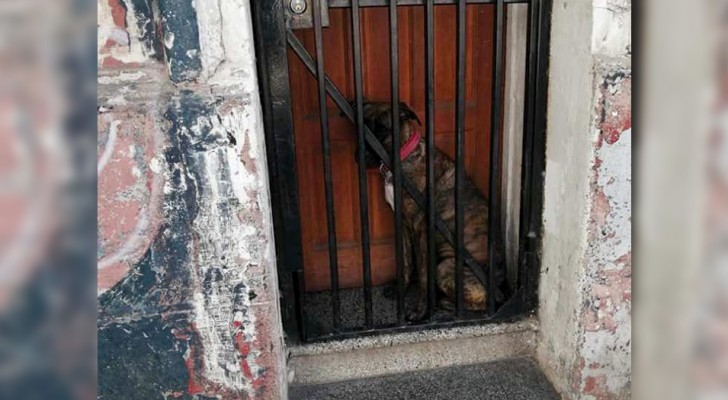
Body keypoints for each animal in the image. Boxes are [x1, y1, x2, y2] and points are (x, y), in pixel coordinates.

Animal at [354, 101, 504, 322]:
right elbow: (406, 262)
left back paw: (446, 304)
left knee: (483, 305)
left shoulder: (422, 232)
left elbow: (424, 275)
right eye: (361, 126)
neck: (404, 157)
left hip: (446, 267)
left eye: (381, 130)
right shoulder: (403, 225)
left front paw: (421, 311)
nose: (358, 155)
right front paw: (400, 289)